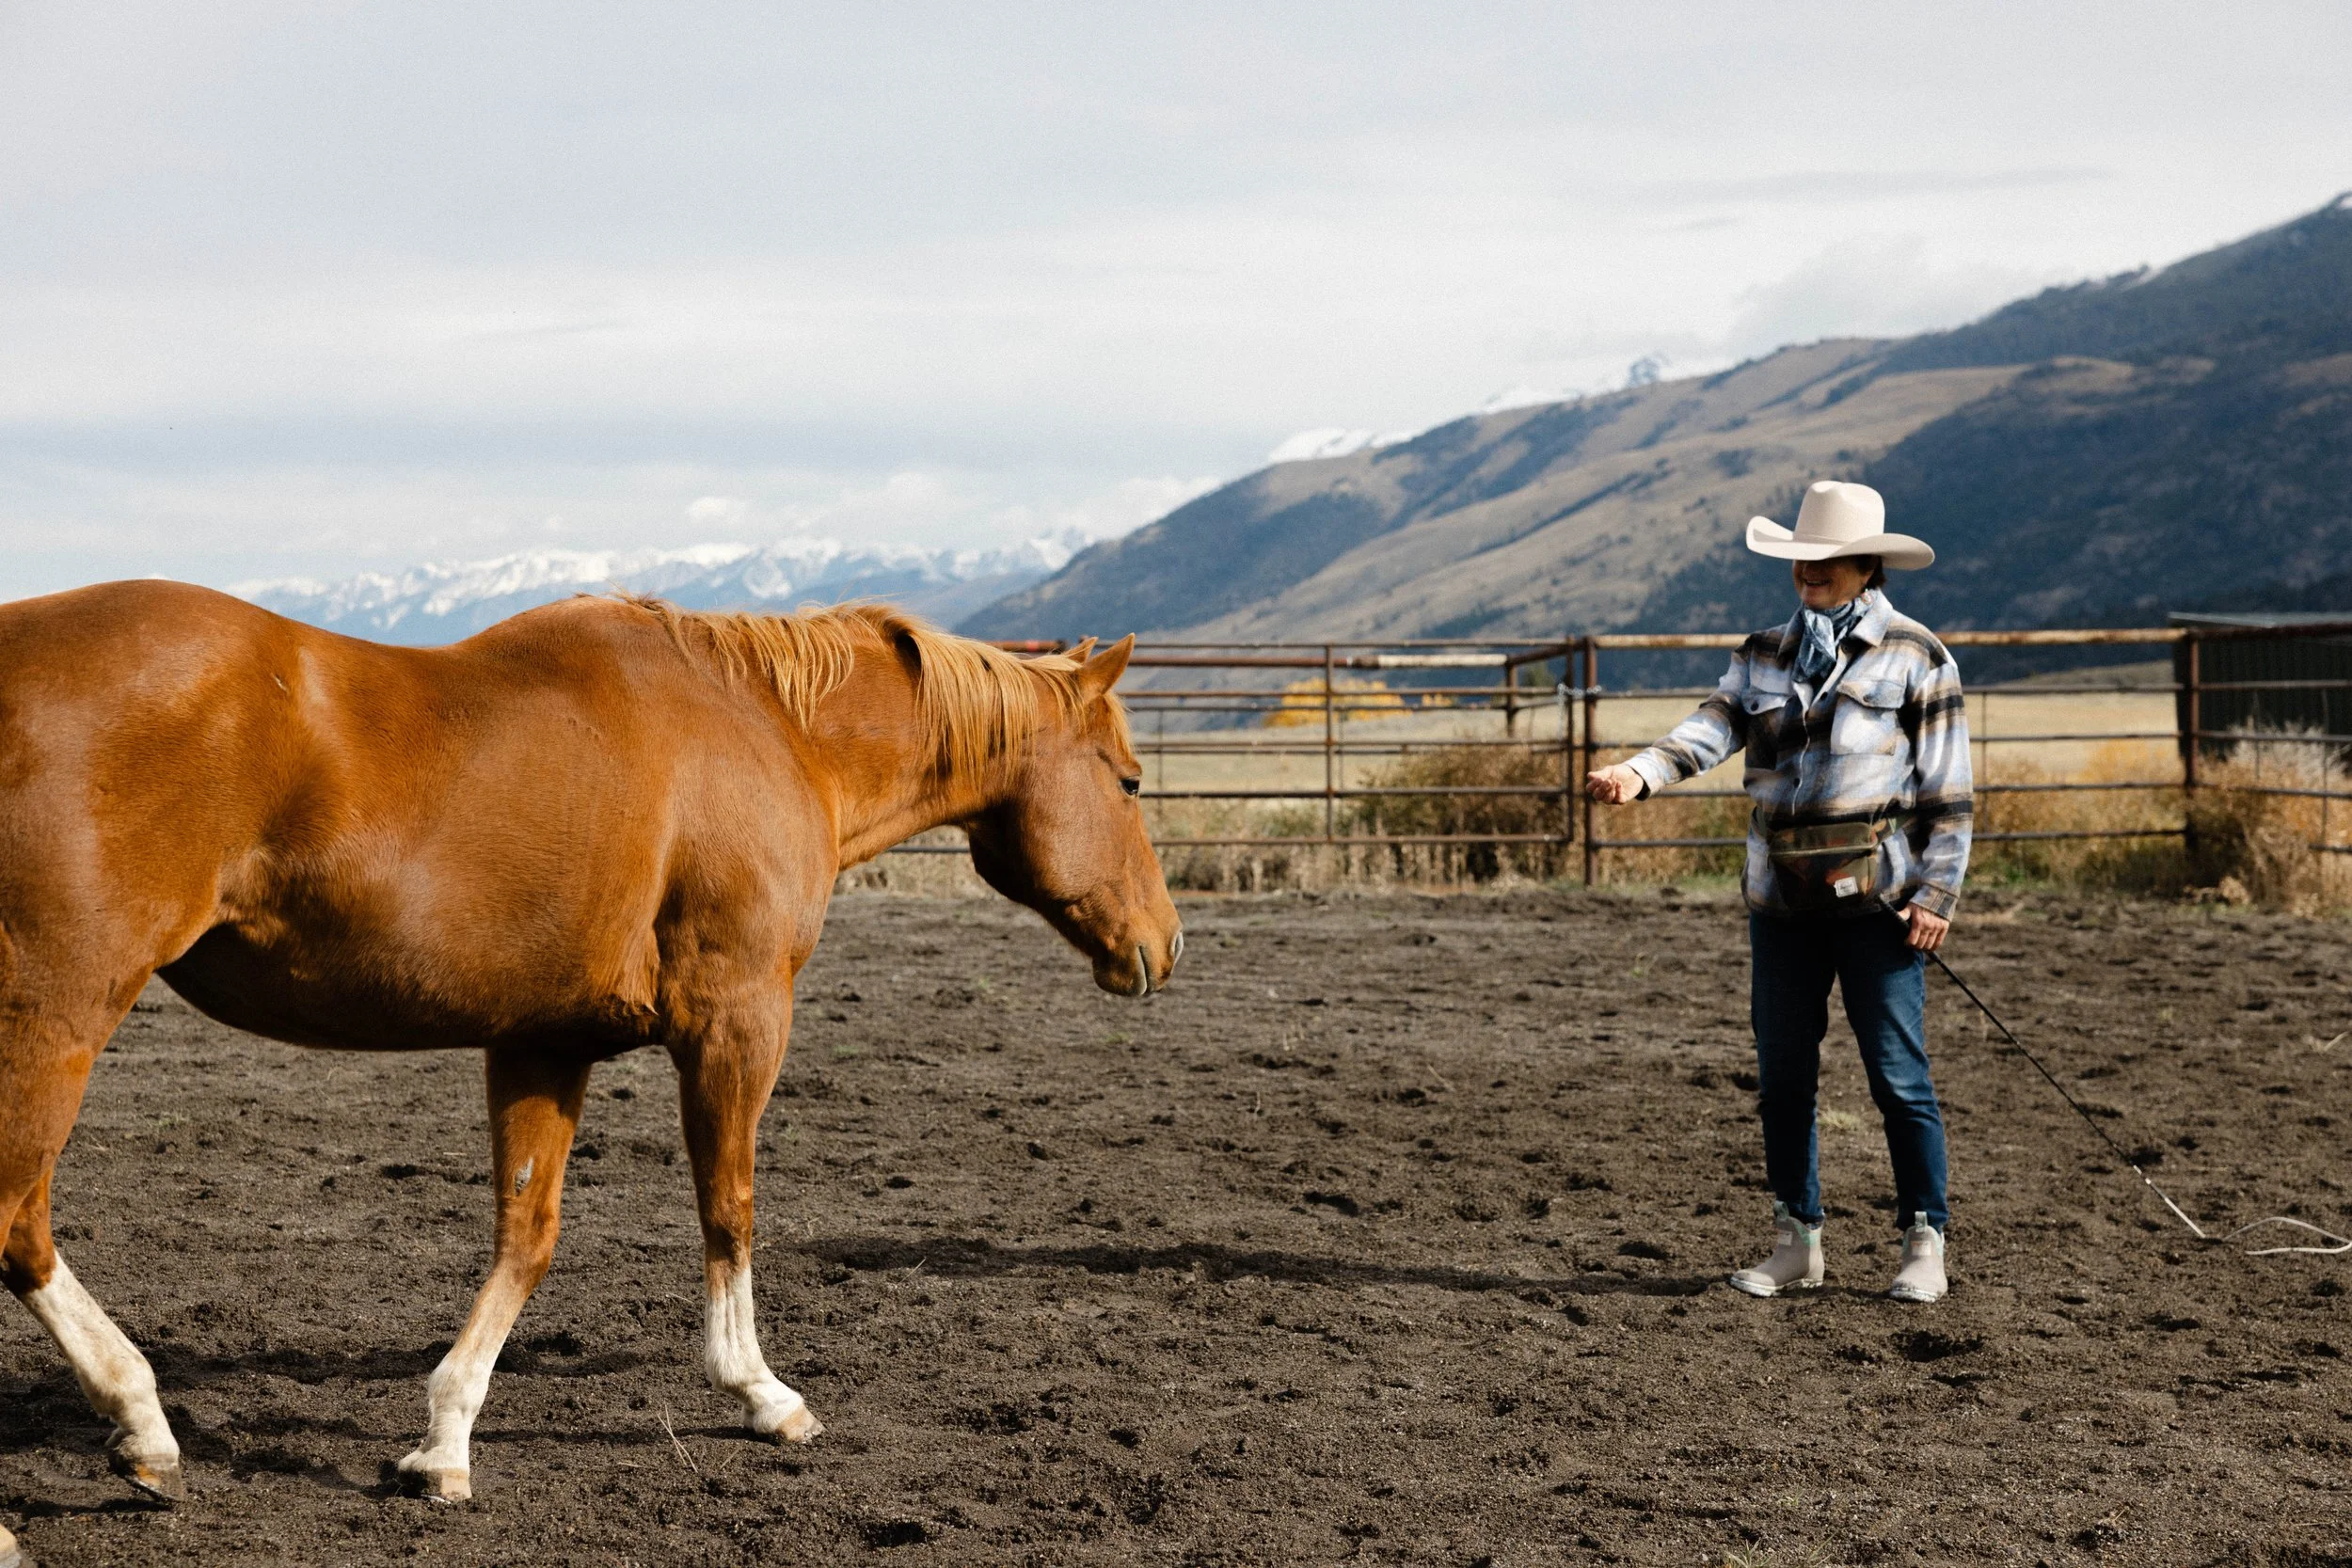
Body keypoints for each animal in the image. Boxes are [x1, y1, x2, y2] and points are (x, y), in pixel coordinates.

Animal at [0, 579, 1181, 1506]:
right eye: (1128, 778)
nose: (1164, 943)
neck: (765, 729)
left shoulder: (541, 1042)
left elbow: (527, 1234)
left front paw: (444, 1437)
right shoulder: (740, 1019)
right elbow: (729, 1207)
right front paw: (761, 1392)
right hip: (54, 1023)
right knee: (18, 1222)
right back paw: (130, 1425)